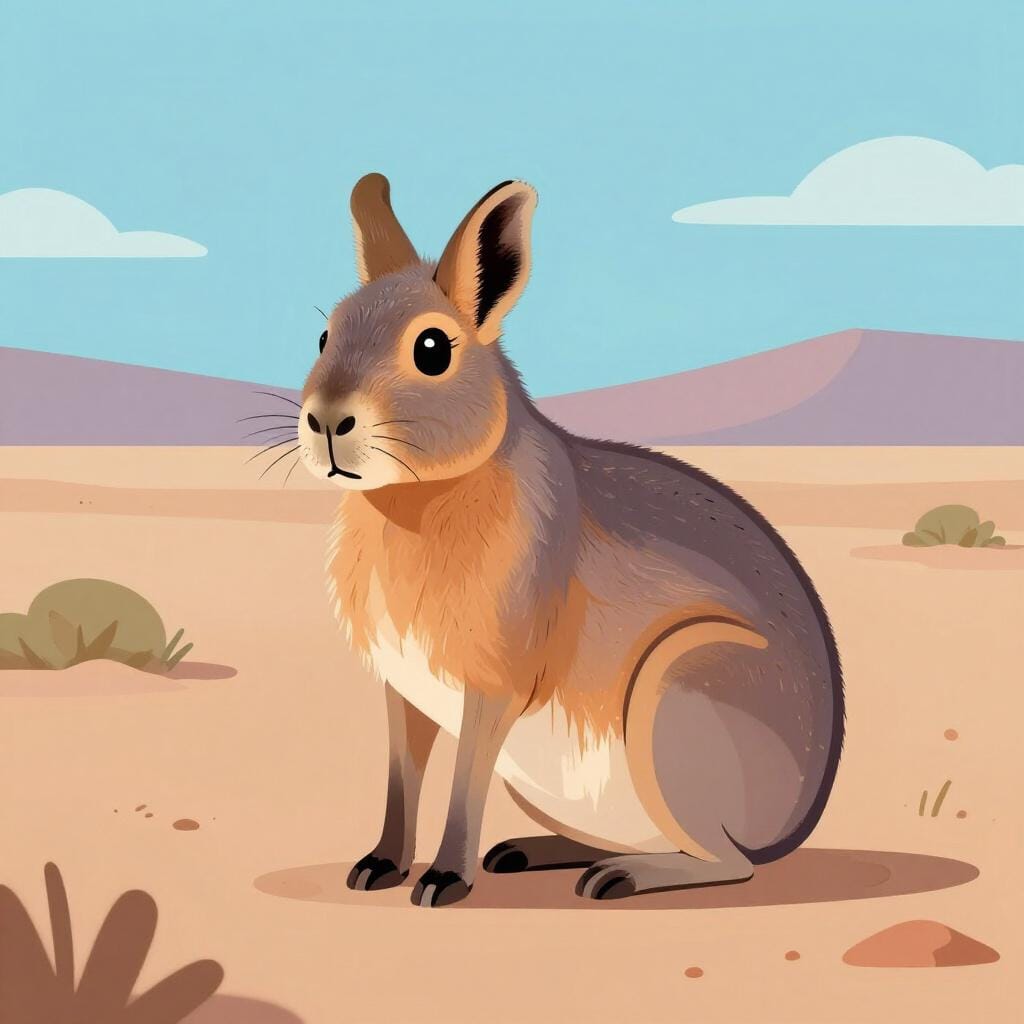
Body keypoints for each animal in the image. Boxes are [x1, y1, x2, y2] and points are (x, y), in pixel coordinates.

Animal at [297, 173, 844, 907]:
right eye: (325, 335)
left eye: (432, 349)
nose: (327, 420)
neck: (423, 496)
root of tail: (794, 821)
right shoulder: (404, 691)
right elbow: (400, 780)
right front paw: (378, 866)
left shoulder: (493, 685)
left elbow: (462, 783)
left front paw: (442, 880)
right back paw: (530, 852)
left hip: (678, 698)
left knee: (730, 862)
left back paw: (618, 876)